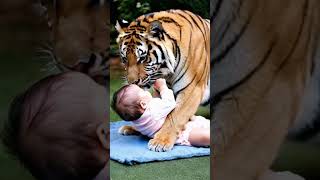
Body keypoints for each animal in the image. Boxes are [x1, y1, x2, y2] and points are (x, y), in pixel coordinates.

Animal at [116, 9, 211, 151]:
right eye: (124, 59)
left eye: (142, 58)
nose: (133, 82)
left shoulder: (192, 88)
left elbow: (175, 115)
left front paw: (160, 141)